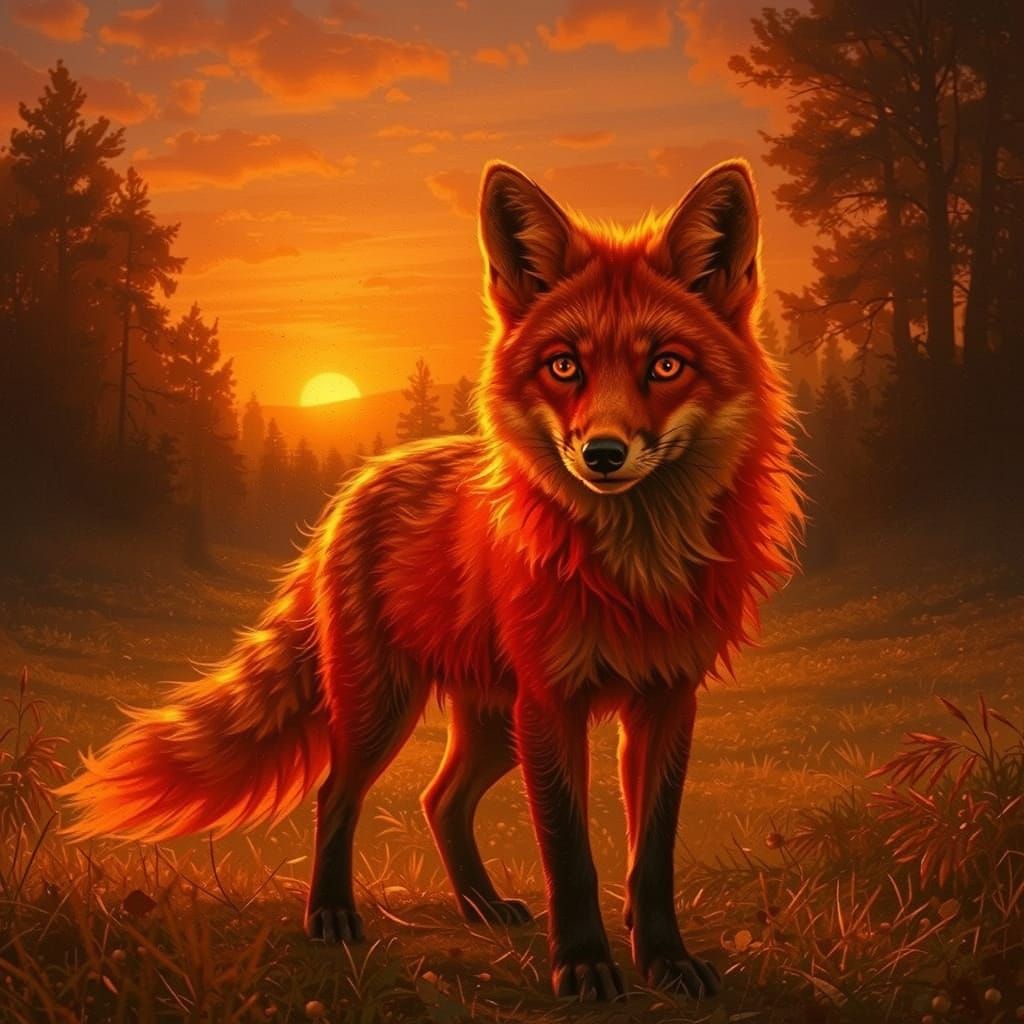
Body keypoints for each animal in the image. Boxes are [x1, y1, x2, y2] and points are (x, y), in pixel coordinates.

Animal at [59, 159, 801, 1002]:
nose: (604, 454)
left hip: (496, 726)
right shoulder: (554, 703)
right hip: (388, 707)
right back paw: (332, 915)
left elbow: (651, 859)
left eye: (665, 366)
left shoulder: (668, 702)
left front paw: (665, 960)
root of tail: (361, 482)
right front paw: (582, 963)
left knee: (438, 800)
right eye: (565, 366)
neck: (633, 573)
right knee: (337, 794)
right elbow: (571, 857)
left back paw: (479, 906)